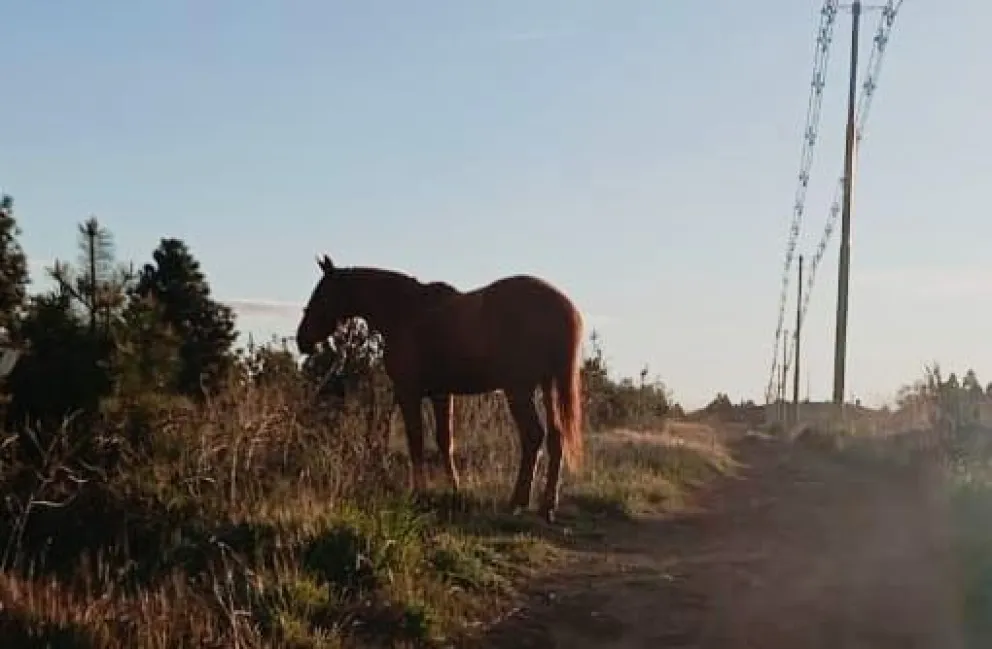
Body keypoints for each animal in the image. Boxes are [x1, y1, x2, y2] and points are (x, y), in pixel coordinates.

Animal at [295, 254, 584, 523]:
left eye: (321, 294)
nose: (302, 340)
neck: (405, 312)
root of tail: (561, 306)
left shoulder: (409, 393)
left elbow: (416, 441)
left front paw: (420, 493)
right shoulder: (441, 394)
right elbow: (445, 441)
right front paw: (454, 489)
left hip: (519, 390)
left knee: (533, 436)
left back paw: (518, 502)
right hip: (547, 387)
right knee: (556, 438)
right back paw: (546, 506)